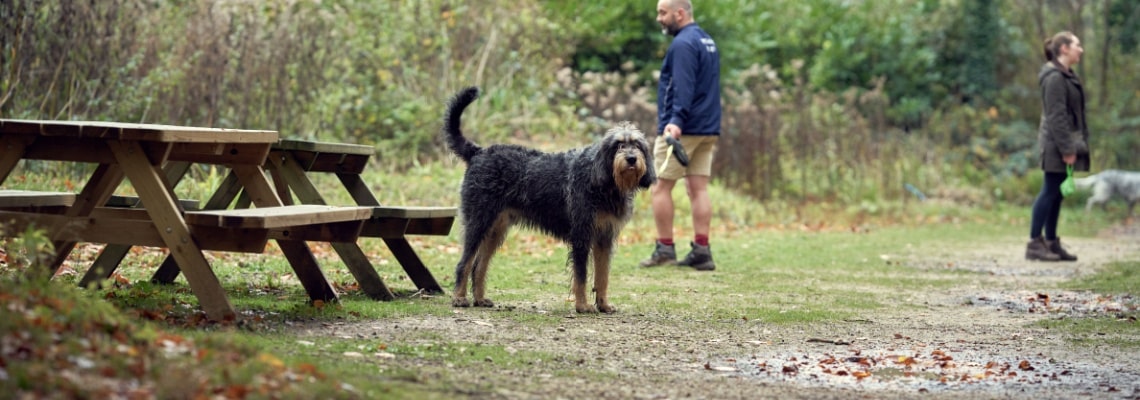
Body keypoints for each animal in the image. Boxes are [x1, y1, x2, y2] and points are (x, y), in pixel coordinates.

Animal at [442, 86, 656, 314]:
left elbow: (602, 276)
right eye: (618, 145)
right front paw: (582, 305)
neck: (603, 180)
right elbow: (581, 275)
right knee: (464, 263)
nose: (631, 159)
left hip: (495, 229)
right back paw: (459, 298)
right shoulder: (581, 235)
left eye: (637, 145)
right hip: (478, 222)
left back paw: (480, 298)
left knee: (479, 266)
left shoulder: (604, 238)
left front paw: (603, 304)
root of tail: (478, 152)